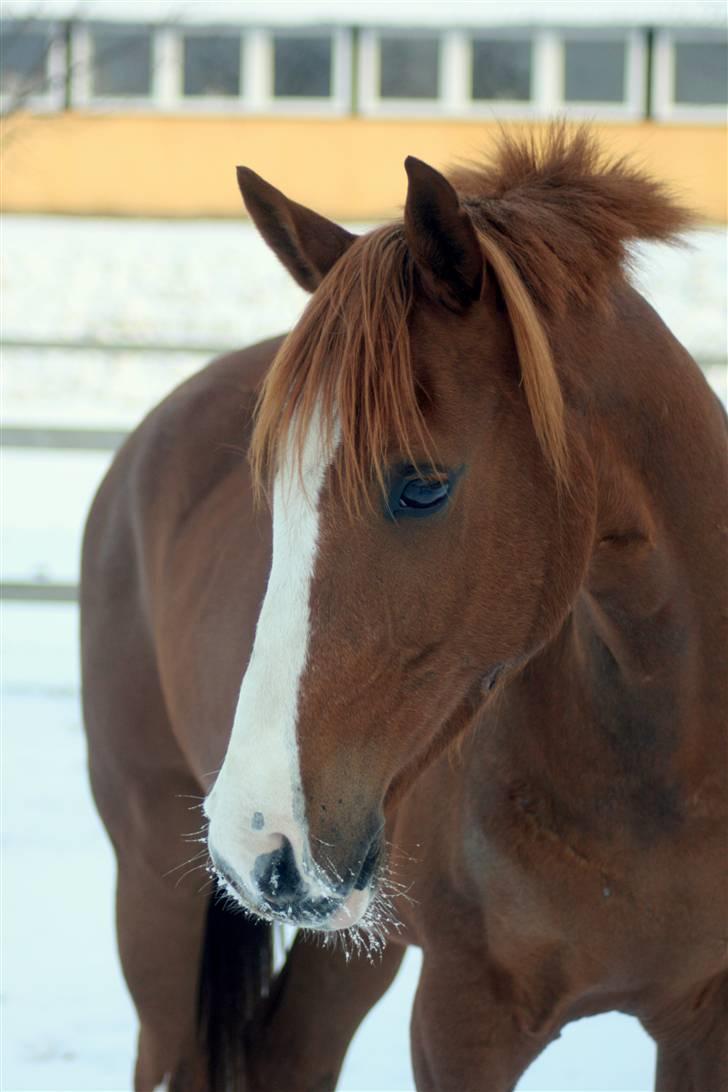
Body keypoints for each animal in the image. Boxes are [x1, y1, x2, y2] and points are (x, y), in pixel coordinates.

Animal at [81, 129, 728, 1092]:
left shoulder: (701, 1019)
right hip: (155, 898)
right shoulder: (463, 1019)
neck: (657, 770)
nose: (256, 836)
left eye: (422, 487)